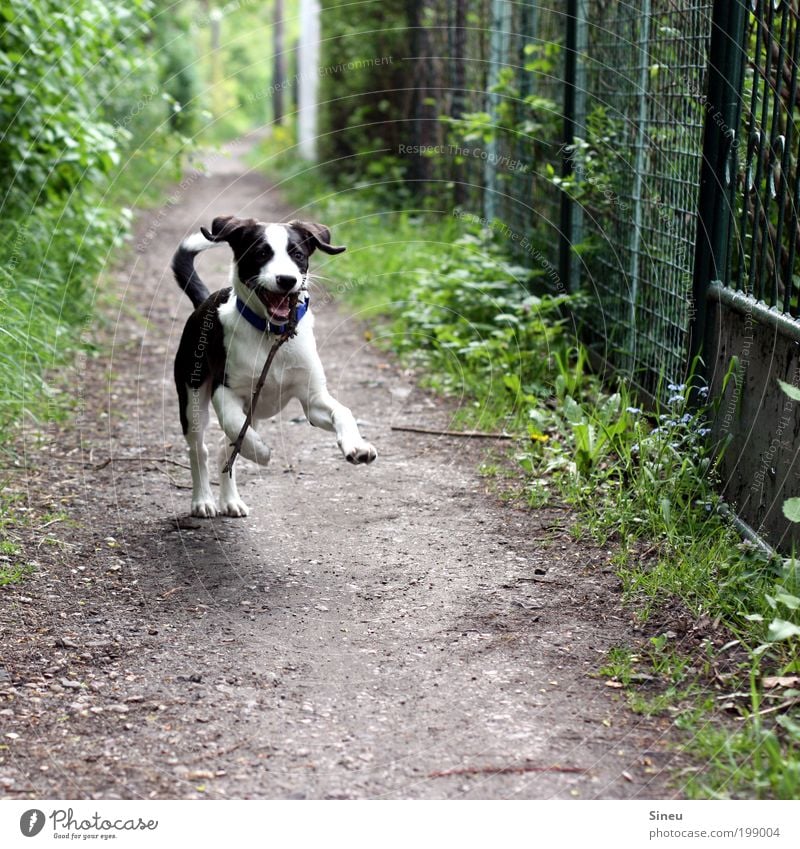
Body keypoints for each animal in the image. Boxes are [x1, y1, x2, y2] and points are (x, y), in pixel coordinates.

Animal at [173, 215, 378, 516]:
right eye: (261, 253)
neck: (272, 335)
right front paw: (260, 452)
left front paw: (357, 445)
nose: (287, 280)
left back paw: (230, 500)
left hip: (253, 410)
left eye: (298, 254)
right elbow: (233, 425)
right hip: (193, 393)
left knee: (225, 449)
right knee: (201, 449)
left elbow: (343, 411)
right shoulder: (225, 391)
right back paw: (203, 501)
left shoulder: (312, 400)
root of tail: (204, 302)